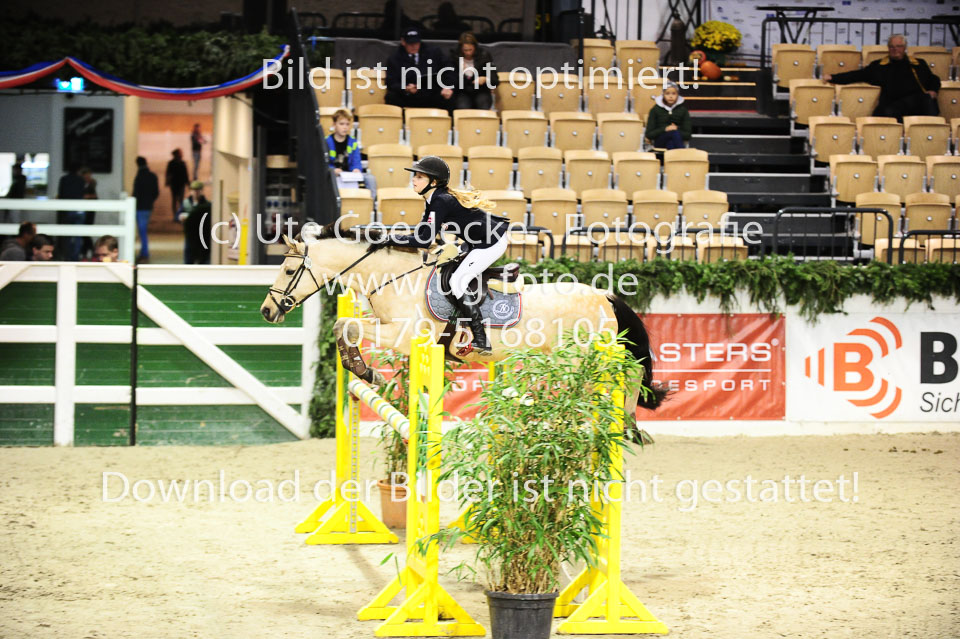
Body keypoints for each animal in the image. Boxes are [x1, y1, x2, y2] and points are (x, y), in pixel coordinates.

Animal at [259, 224, 666, 425]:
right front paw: (362, 370)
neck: (394, 277)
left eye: (290, 271)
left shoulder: (404, 336)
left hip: (586, 358)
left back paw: (626, 419)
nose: (266, 311)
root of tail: (605, 296)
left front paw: (365, 371)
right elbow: (344, 326)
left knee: (627, 374)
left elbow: (346, 326)